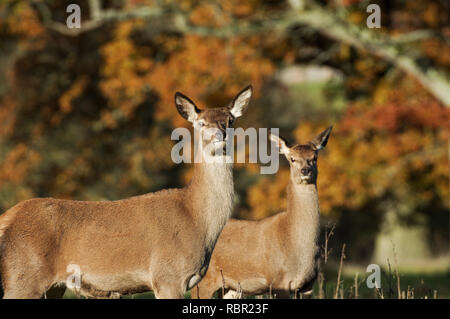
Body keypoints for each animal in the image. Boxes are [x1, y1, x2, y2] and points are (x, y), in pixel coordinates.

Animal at [0, 85, 253, 300]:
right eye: (200, 123)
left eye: (230, 120)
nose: (221, 135)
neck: (196, 219)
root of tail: (6, 218)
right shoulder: (167, 275)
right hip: (24, 276)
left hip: (51, 286)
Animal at [192, 127, 332, 300]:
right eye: (292, 159)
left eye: (314, 157)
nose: (305, 170)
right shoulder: (278, 282)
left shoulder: (308, 287)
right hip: (203, 280)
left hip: (231, 287)